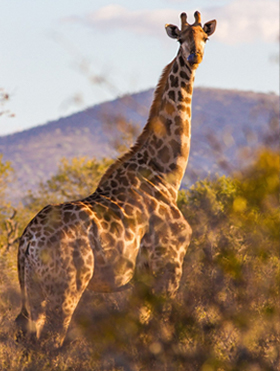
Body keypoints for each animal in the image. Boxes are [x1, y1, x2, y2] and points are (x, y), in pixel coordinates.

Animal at [15, 10, 217, 348]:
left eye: (204, 36)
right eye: (181, 39)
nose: (194, 56)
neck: (166, 174)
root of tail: (27, 241)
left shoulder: (141, 279)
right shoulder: (169, 265)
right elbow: (162, 331)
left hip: (32, 290)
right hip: (68, 286)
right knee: (52, 340)